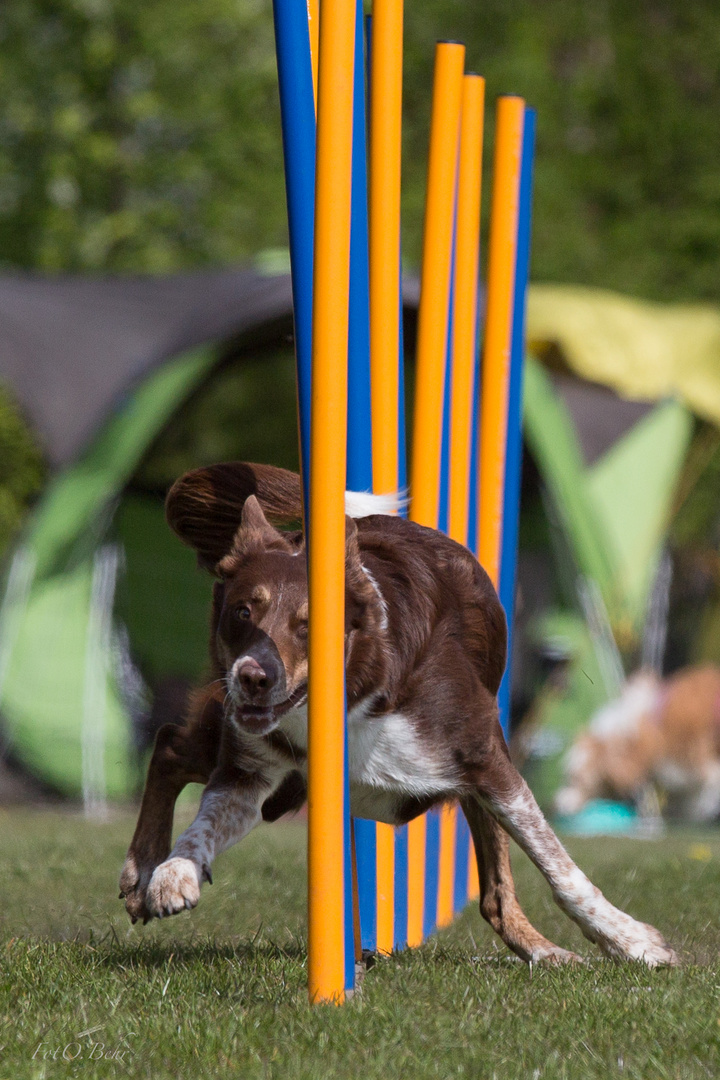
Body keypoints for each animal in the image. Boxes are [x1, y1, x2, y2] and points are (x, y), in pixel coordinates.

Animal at [118, 460, 677, 967]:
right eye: (242, 612)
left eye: (308, 625)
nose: (253, 677)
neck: (353, 701)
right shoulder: (251, 770)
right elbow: (206, 819)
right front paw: (173, 874)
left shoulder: (487, 762)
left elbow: (557, 864)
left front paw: (631, 940)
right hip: (250, 755)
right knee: (168, 745)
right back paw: (142, 868)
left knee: (497, 894)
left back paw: (543, 950)